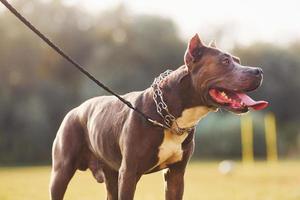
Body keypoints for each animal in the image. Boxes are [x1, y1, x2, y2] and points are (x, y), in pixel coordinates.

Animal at [49, 34, 268, 200]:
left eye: (238, 61)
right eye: (225, 61)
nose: (259, 70)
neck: (171, 118)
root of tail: (75, 110)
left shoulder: (175, 174)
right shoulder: (129, 173)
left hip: (110, 173)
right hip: (61, 171)